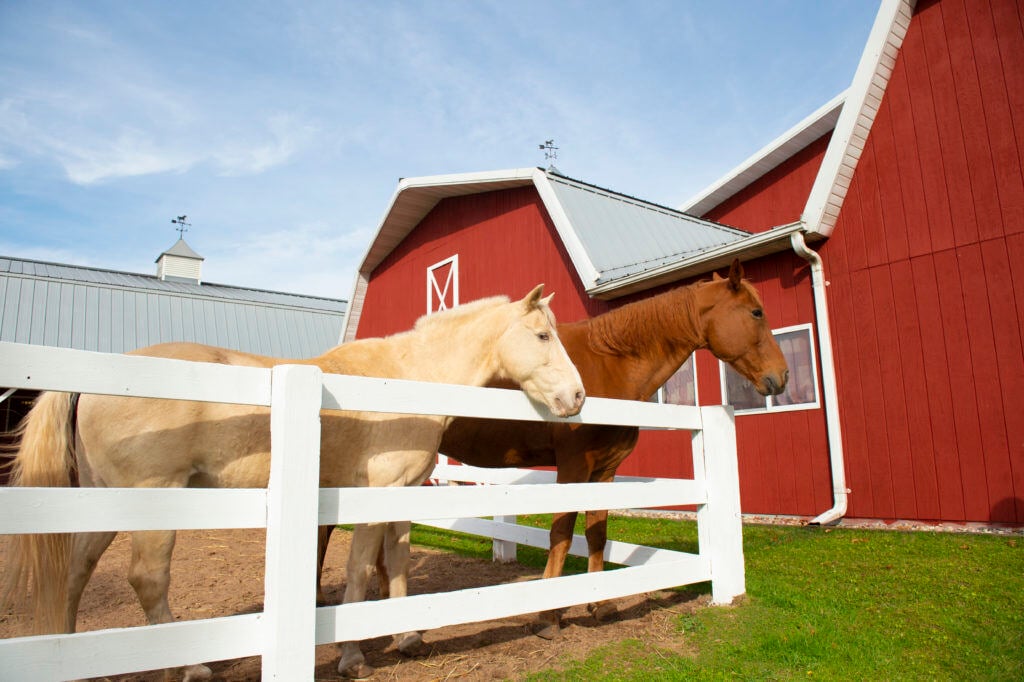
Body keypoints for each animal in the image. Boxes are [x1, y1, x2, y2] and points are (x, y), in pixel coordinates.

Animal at [1, 284, 585, 681]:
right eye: (542, 336)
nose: (577, 398)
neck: (403, 379)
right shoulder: (372, 498)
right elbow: (357, 572)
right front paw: (353, 656)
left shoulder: (402, 495)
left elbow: (395, 564)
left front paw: (407, 635)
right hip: (153, 501)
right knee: (146, 580)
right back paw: (190, 668)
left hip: (106, 503)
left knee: (75, 571)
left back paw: (70, 658)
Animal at [317, 259, 789, 639]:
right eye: (756, 312)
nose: (781, 378)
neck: (609, 364)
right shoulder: (573, 468)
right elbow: (561, 535)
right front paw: (549, 615)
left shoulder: (605, 472)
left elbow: (597, 535)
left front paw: (599, 602)